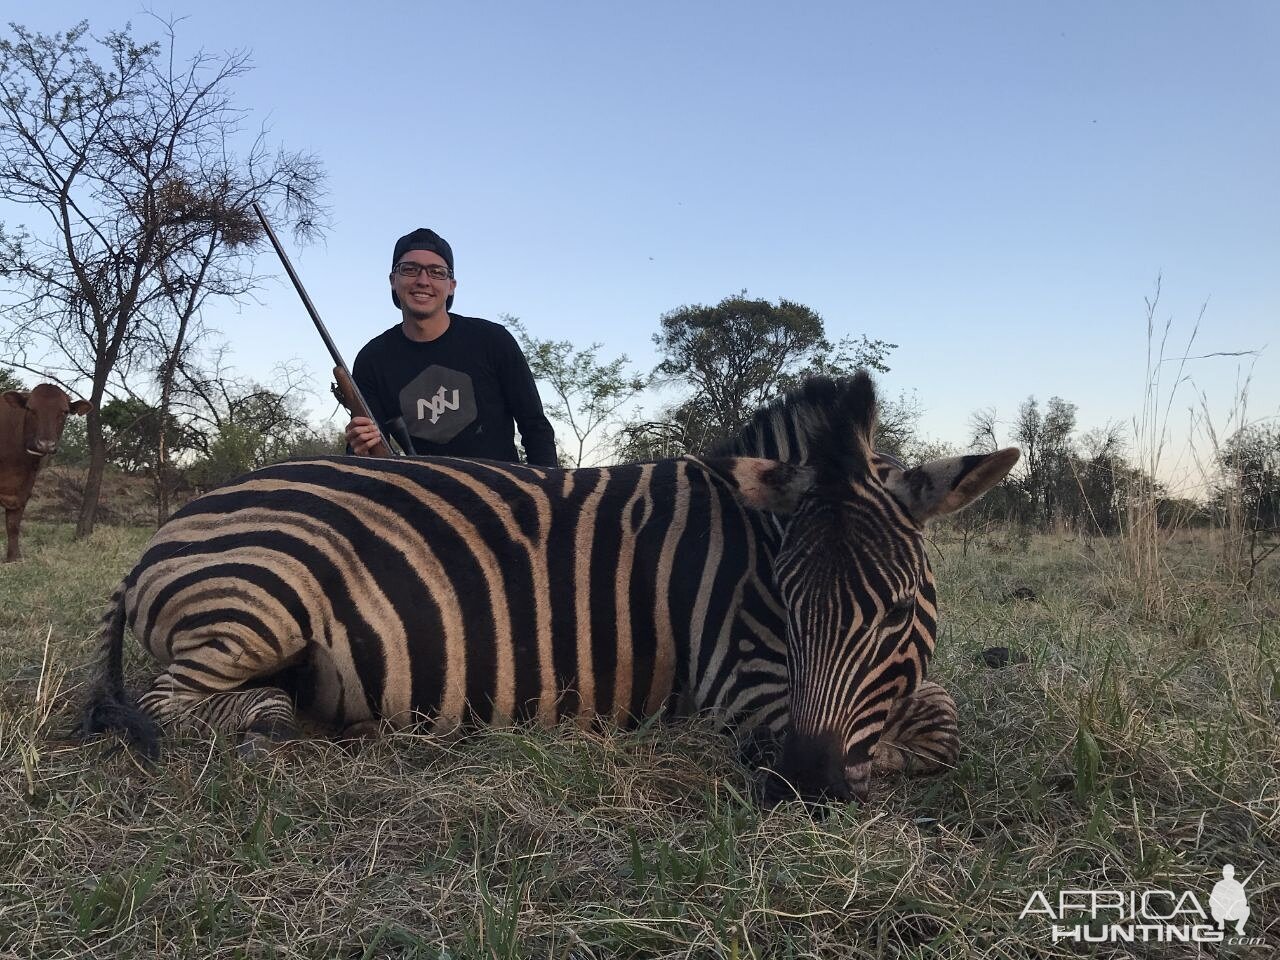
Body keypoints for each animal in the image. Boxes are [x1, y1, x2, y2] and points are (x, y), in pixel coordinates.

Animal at [0, 386, 92, 563]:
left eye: (64, 411)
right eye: (30, 408)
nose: (45, 444)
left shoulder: (25, 488)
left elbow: (13, 524)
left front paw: (14, 558)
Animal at [82, 373, 1018, 803]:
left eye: (900, 609)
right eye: (785, 609)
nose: (804, 787)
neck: (754, 539)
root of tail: (159, 538)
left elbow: (942, 713)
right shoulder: (739, 688)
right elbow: (935, 726)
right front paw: (888, 753)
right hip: (258, 605)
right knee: (182, 703)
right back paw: (280, 727)